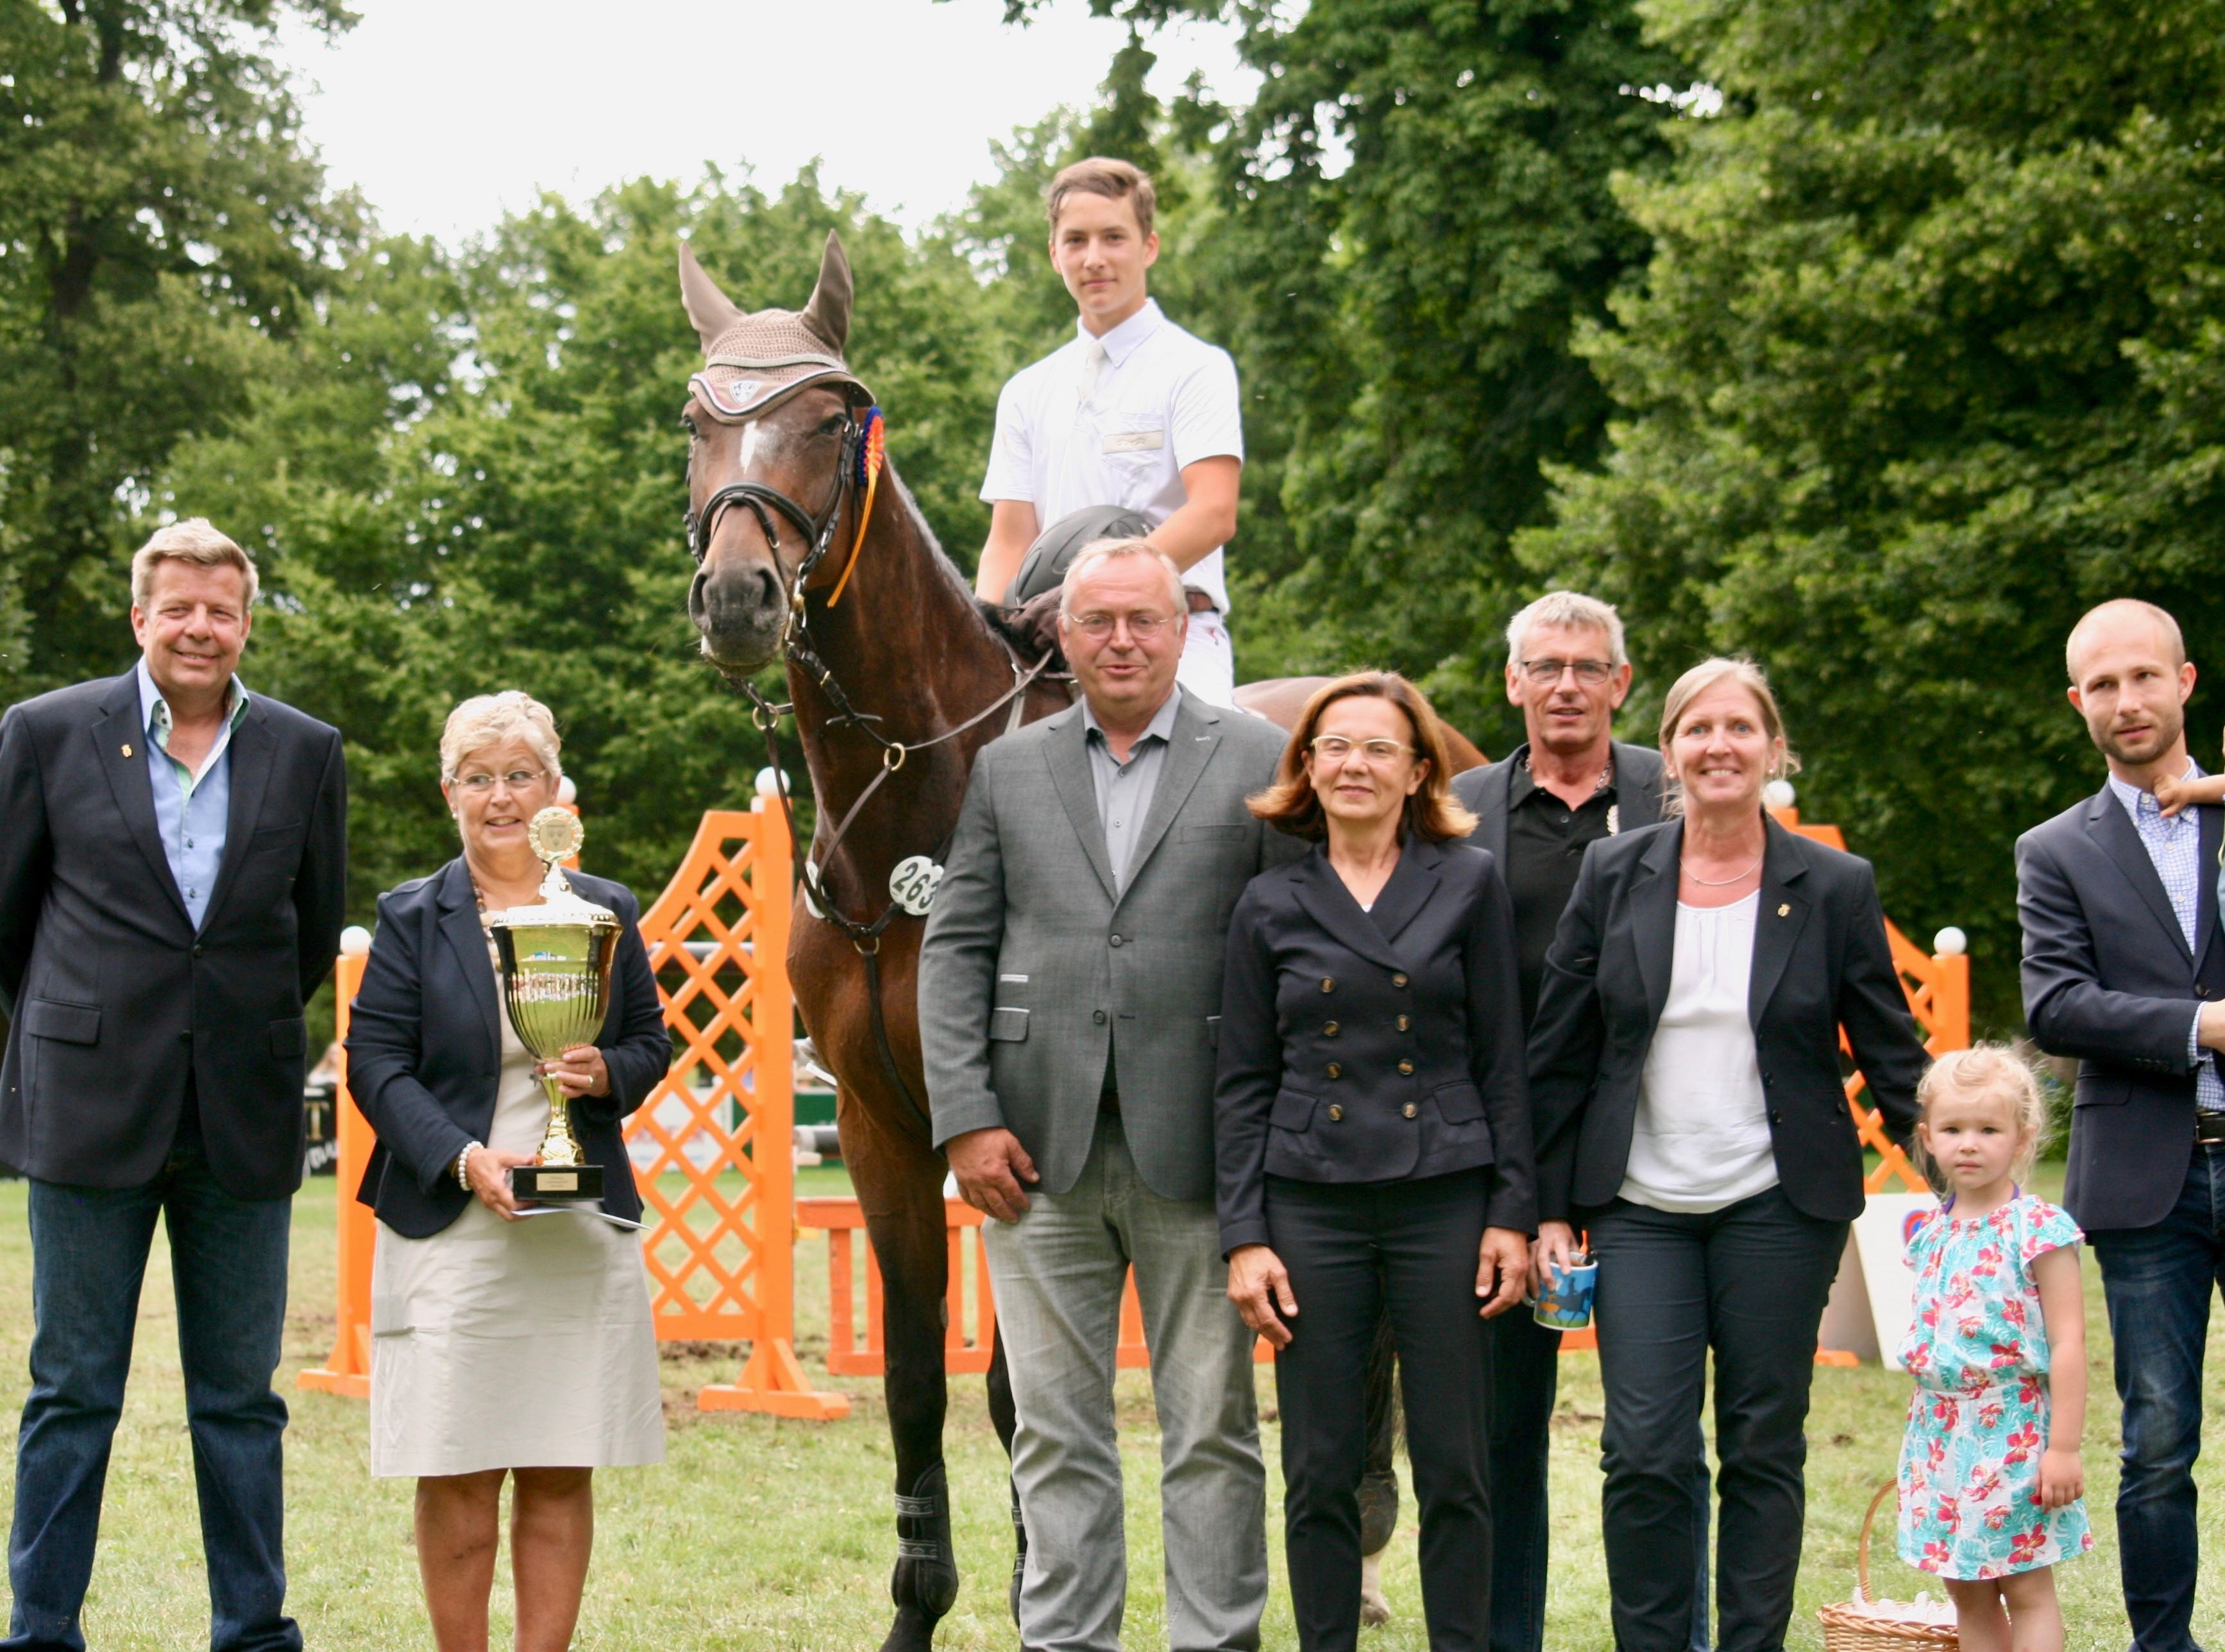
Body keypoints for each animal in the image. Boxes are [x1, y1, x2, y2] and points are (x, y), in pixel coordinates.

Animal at [676, 232, 1477, 1652]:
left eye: (828, 416)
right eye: (693, 420)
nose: (736, 597)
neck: (916, 798)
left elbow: (1016, 1390)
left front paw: (1036, 1573)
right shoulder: (883, 1129)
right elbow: (918, 1386)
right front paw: (927, 1605)